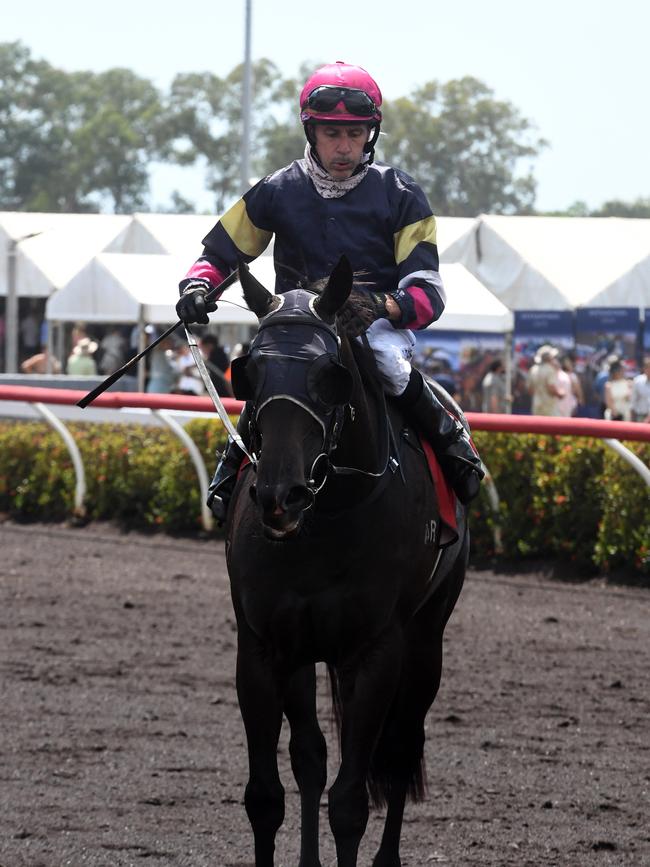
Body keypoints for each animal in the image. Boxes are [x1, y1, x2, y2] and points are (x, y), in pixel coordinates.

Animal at [225, 260, 468, 867]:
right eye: (249, 372)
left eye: (329, 373)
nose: (280, 495)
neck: (328, 516)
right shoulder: (266, 646)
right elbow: (269, 793)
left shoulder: (376, 651)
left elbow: (351, 801)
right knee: (311, 756)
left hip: (427, 636)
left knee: (402, 745)